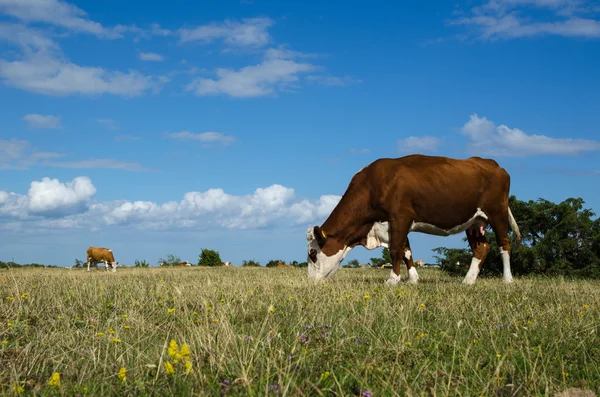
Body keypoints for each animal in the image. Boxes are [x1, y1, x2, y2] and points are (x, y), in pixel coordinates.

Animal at [304, 155, 520, 284]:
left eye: (313, 253)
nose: (310, 280)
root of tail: (492, 163)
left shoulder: (400, 217)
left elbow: (395, 250)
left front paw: (392, 280)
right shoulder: (391, 224)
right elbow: (406, 251)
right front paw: (413, 279)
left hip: (497, 212)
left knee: (504, 243)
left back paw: (507, 280)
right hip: (474, 221)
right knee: (481, 247)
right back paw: (468, 281)